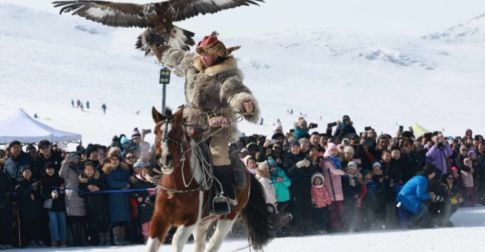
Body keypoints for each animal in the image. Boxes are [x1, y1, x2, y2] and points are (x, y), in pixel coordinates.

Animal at [146, 107, 270, 252]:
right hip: (204, 222)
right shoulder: (160, 218)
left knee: (214, 242)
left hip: (228, 217)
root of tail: (247, 172)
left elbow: (177, 241)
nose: (165, 158)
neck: (177, 187)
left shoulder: (191, 220)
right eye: (155, 131)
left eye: (178, 132)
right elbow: (151, 245)